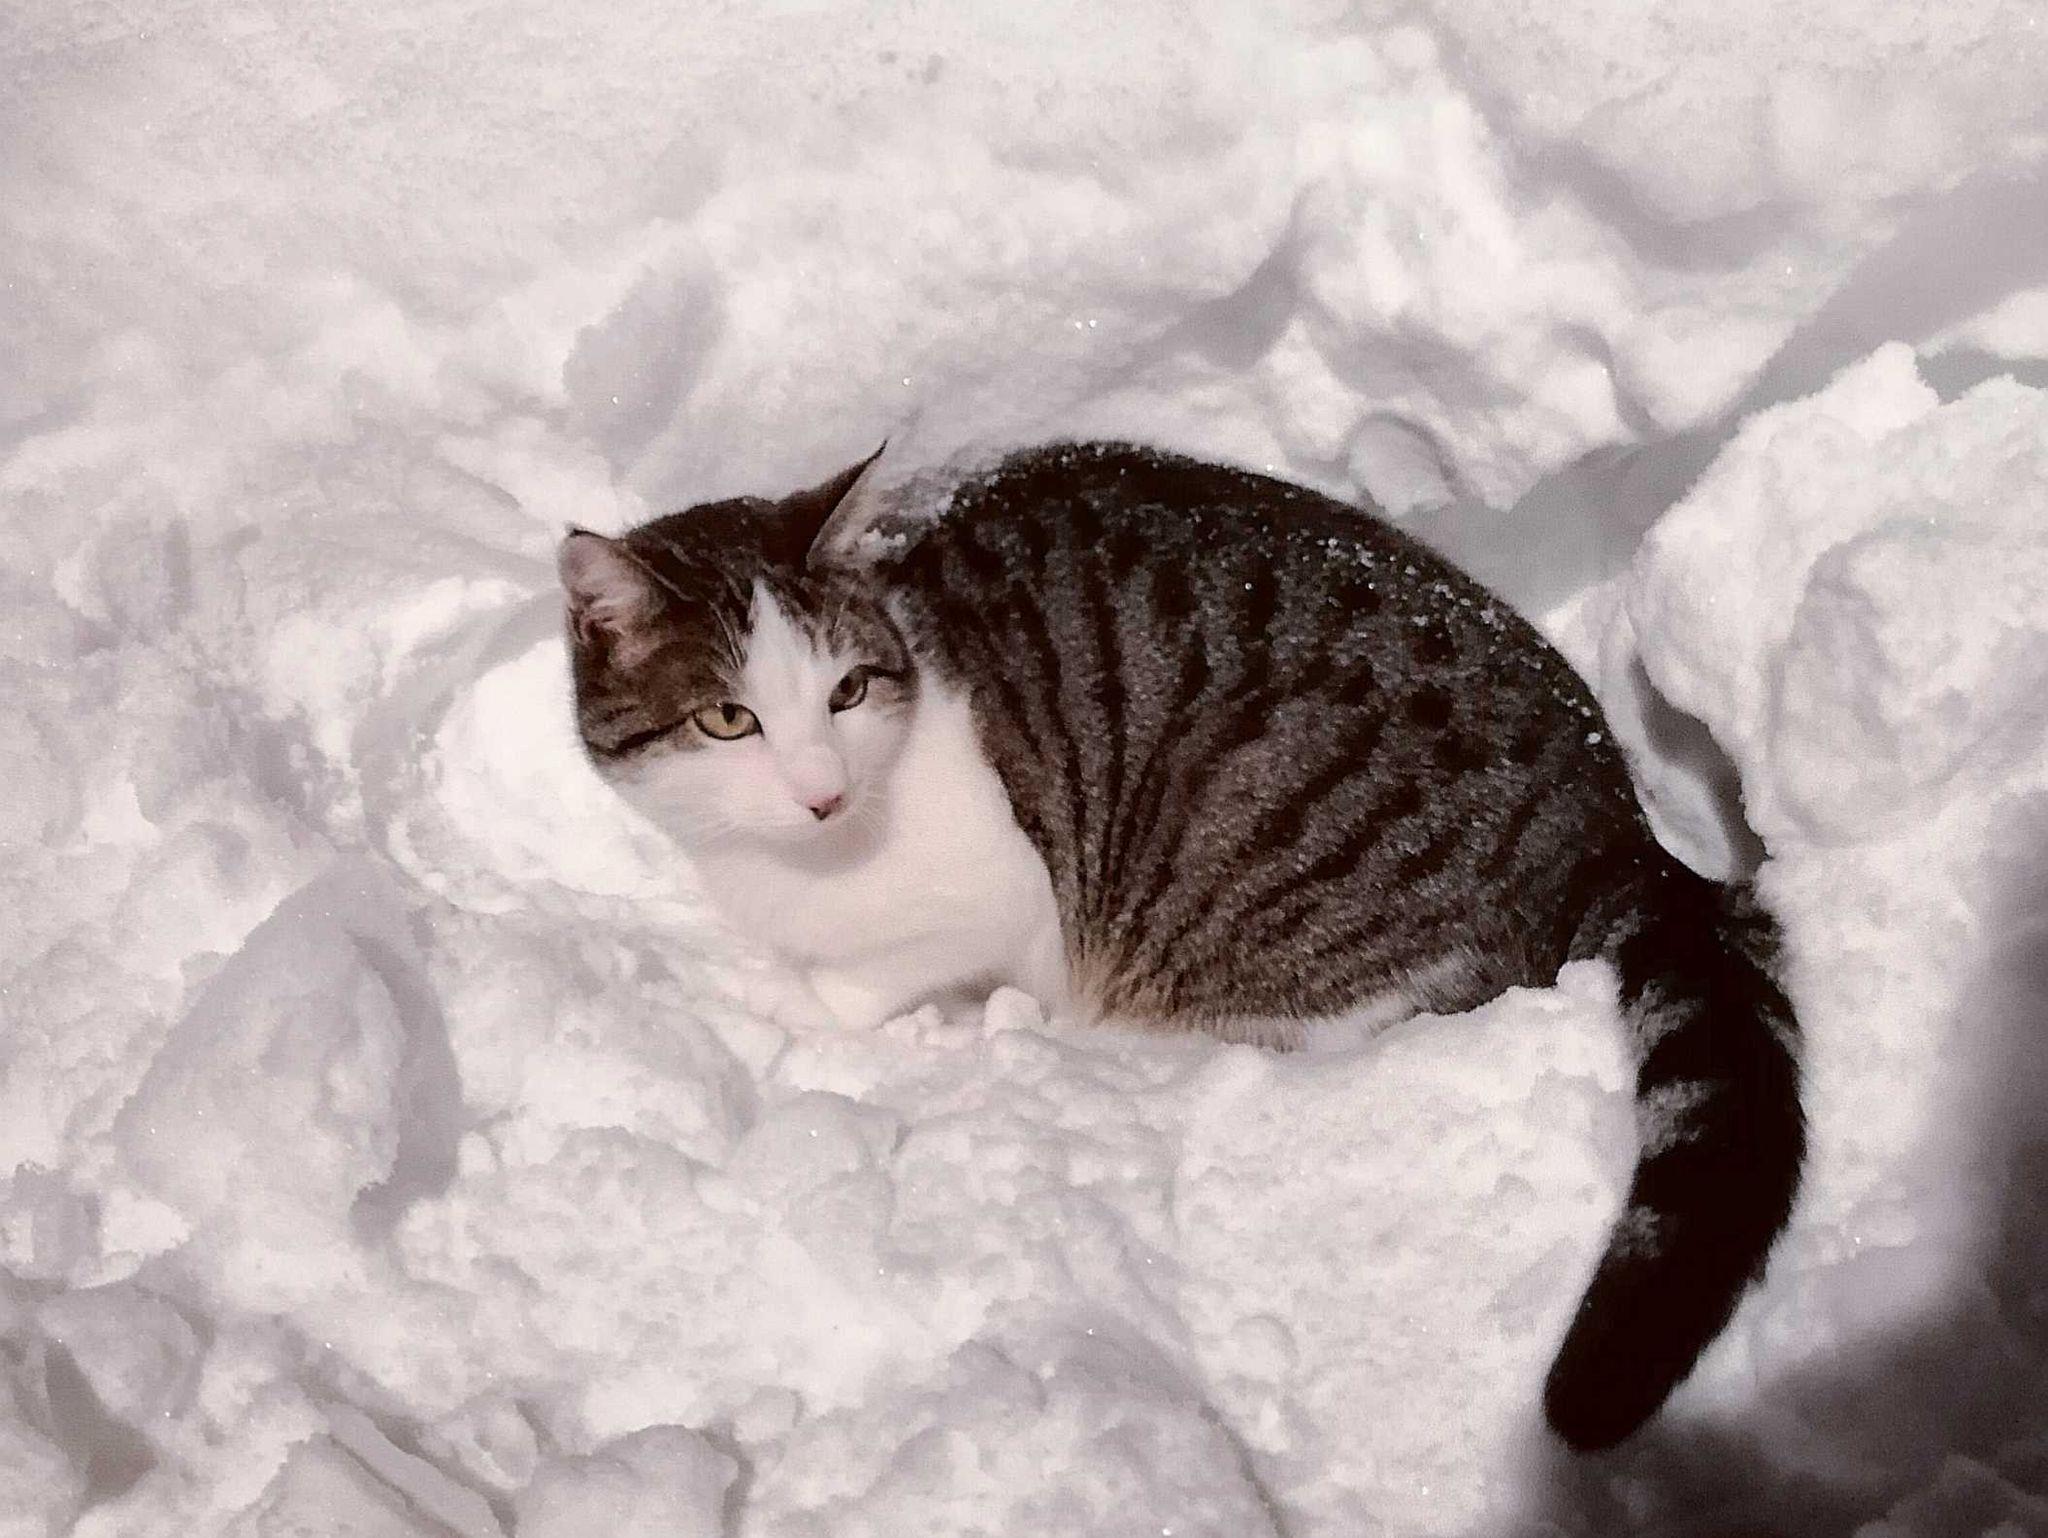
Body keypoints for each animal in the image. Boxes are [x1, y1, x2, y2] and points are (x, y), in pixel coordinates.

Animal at [557, 440, 1805, 1453]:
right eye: (729, 719)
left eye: (847, 691)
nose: (820, 791)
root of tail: (1613, 821)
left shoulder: (999, 891)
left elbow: (870, 978)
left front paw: (777, 1004)